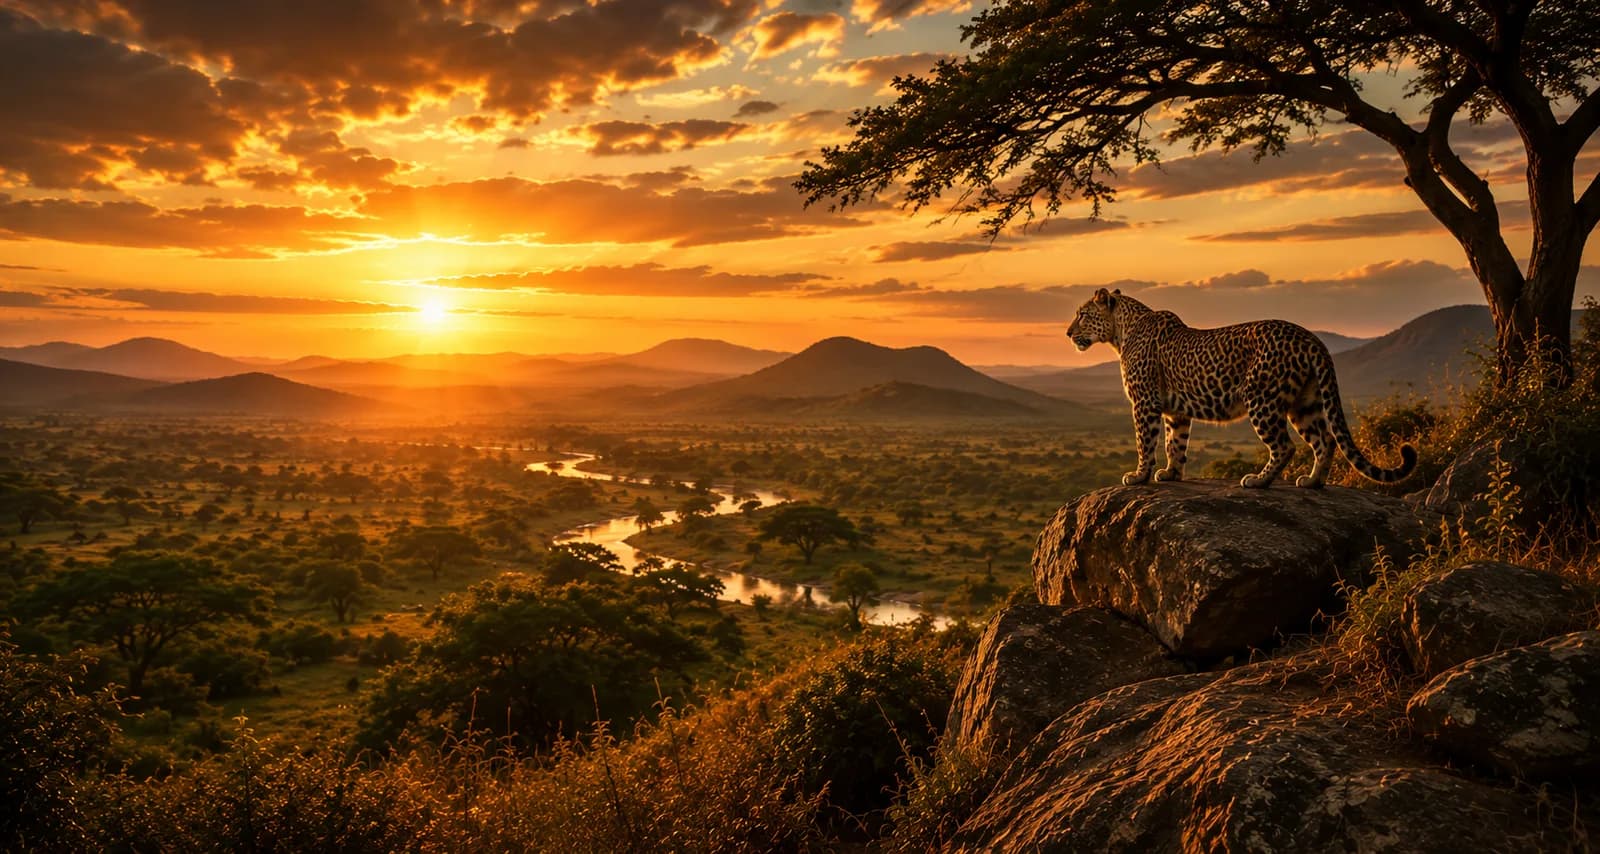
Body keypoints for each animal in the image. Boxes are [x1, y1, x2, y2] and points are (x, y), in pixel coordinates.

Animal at [1065, 288, 1417, 488]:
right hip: (1305, 403)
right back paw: (1312, 483)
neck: (1121, 332)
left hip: (1261, 399)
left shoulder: (1144, 402)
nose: (1068, 333)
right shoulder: (1175, 411)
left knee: (1285, 446)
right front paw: (1171, 474)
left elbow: (1145, 442)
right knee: (1325, 440)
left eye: (1082, 314)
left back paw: (1259, 481)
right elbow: (1174, 443)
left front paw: (1138, 476)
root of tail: (1311, 338)